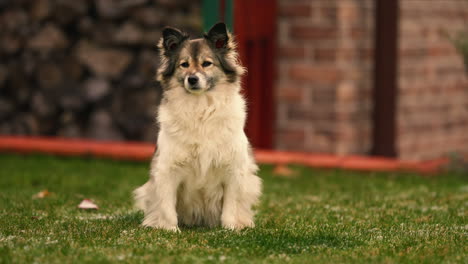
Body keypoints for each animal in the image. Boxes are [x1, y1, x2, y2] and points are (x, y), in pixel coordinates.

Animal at [133, 23, 262, 232]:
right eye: (184, 65)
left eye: (207, 63)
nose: (192, 79)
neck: (200, 108)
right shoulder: (167, 169)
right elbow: (166, 206)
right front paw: (170, 229)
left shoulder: (234, 169)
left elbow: (231, 205)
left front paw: (230, 228)